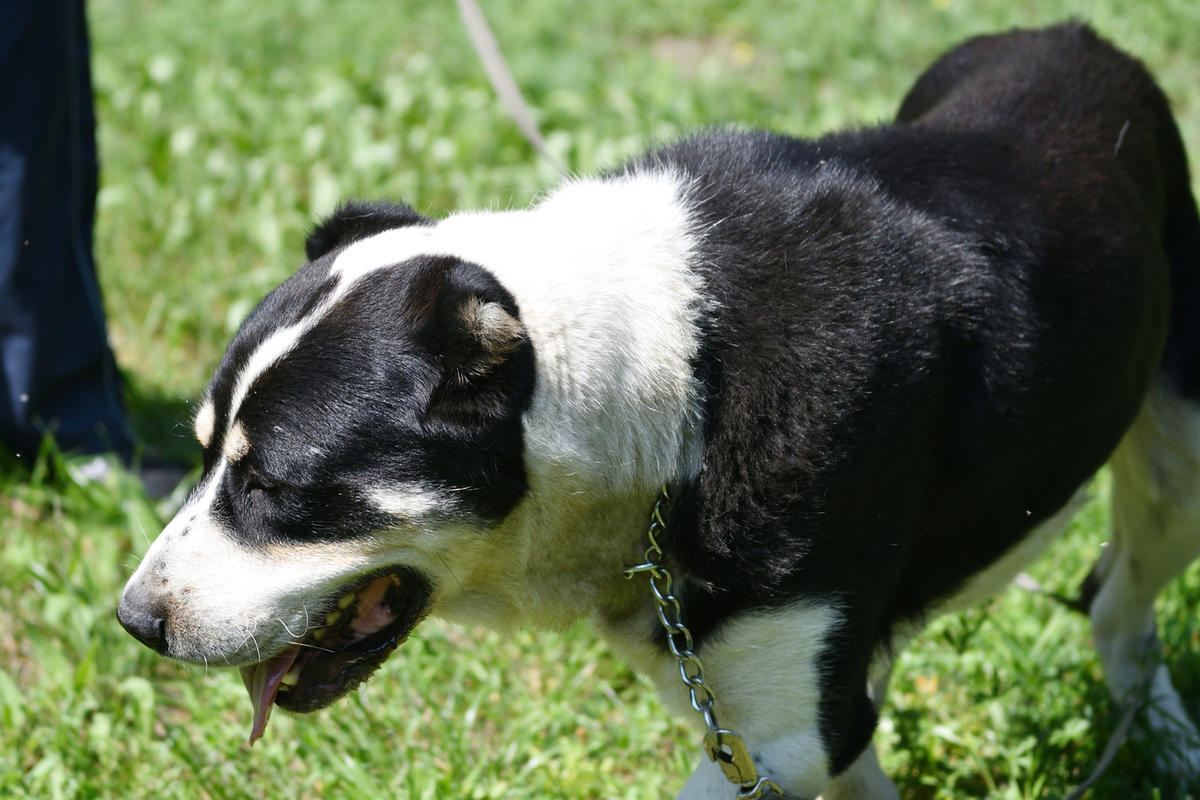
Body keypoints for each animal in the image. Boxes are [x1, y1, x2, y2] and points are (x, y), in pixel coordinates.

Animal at [119, 21, 1200, 796]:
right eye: (205, 455)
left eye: (273, 484)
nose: (135, 621)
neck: (681, 390)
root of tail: (1075, 33)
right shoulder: (800, 714)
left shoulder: (785, 730)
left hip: (1178, 449)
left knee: (1118, 598)